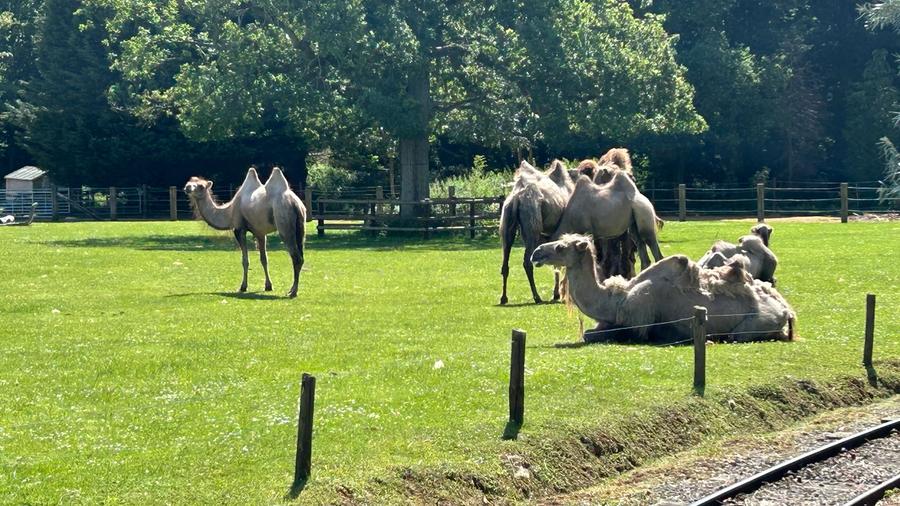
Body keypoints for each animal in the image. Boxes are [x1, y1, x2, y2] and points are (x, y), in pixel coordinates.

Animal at [184, 167, 307, 298]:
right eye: (190, 181)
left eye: (201, 186)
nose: (187, 187)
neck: (229, 212)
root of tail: (295, 203)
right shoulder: (260, 232)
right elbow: (264, 259)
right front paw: (268, 286)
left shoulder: (239, 229)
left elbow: (245, 260)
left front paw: (243, 286)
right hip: (301, 226)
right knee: (301, 255)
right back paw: (291, 289)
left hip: (284, 222)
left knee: (296, 257)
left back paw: (293, 292)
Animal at [499, 159, 574, 304]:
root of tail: (517, 196)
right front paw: (558, 294)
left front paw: (557, 294)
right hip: (532, 225)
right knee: (527, 262)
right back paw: (537, 297)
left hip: (507, 219)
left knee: (505, 260)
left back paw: (504, 298)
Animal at [531, 234, 795, 343]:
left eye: (561, 247)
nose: (536, 252)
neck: (616, 300)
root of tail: (787, 310)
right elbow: (588, 333)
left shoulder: (638, 325)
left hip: (755, 323)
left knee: (739, 335)